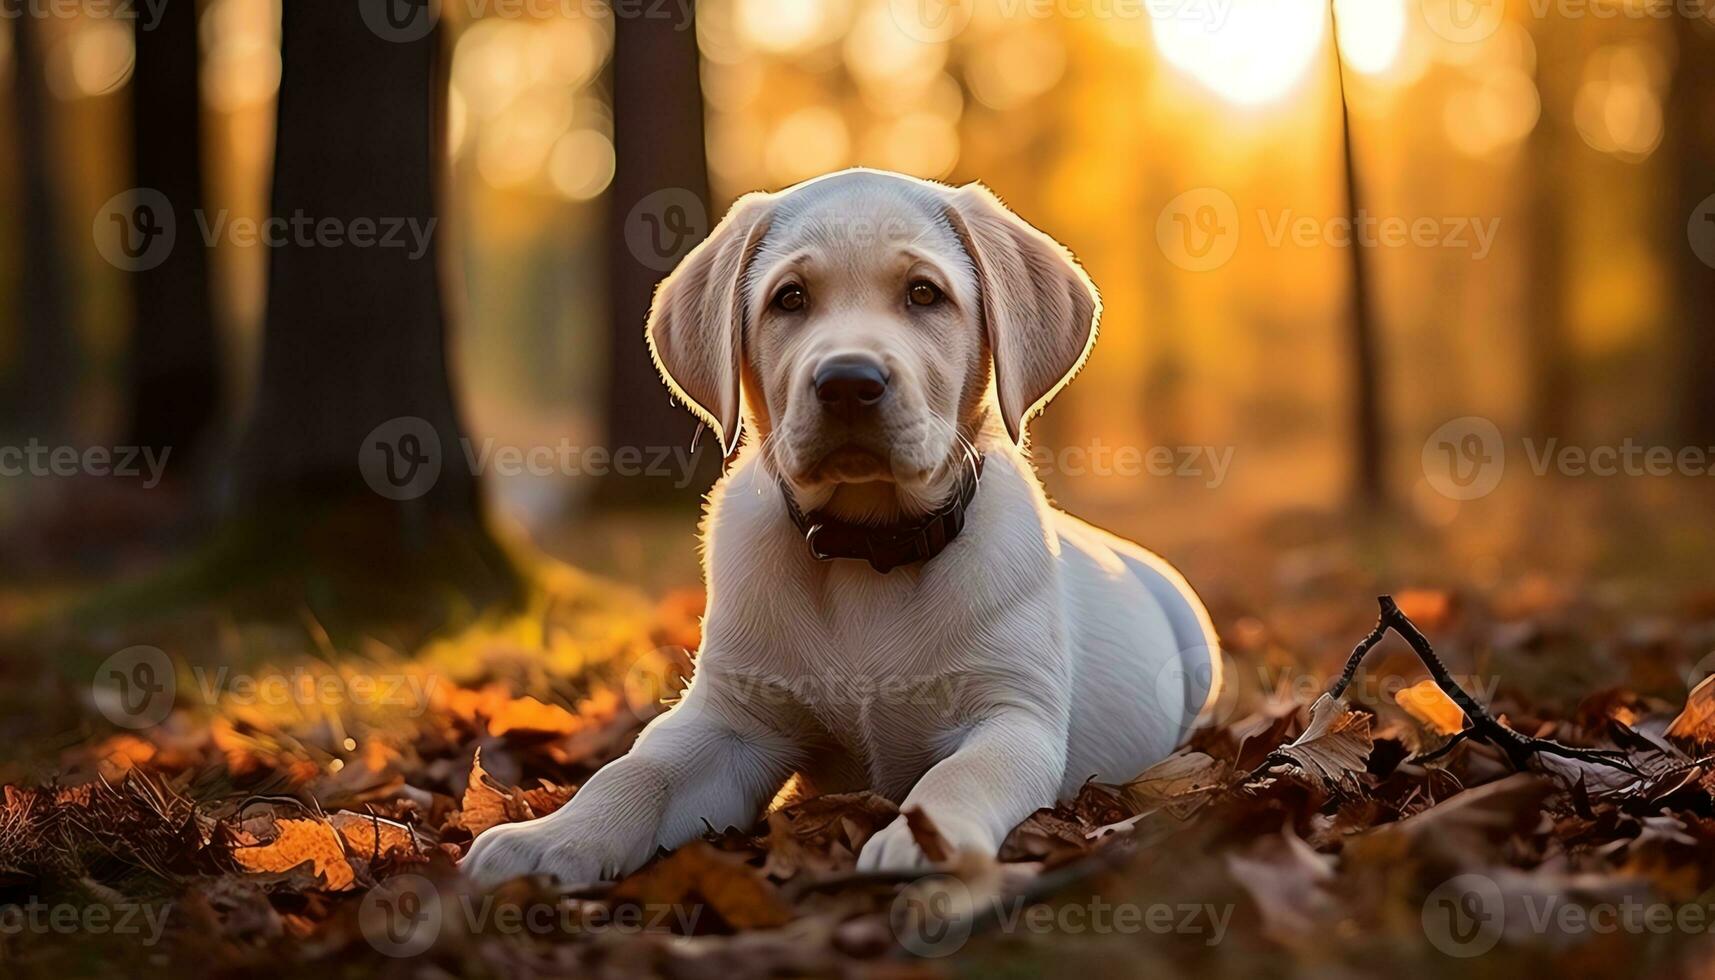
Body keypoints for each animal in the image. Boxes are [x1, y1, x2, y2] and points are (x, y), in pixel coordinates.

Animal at [466, 170, 1221, 892]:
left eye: (924, 294)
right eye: (789, 299)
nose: (848, 382)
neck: (869, 547)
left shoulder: (1013, 714)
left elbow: (962, 773)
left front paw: (926, 842)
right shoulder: (730, 720)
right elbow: (633, 770)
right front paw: (551, 838)